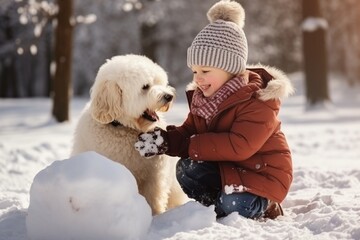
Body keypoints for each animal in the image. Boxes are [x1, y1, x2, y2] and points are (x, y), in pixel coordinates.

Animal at [72, 54, 187, 216]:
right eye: (145, 86)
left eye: (160, 82)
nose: (169, 96)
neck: (124, 128)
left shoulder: (154, 176)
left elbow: (154, 198)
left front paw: (155, 215)